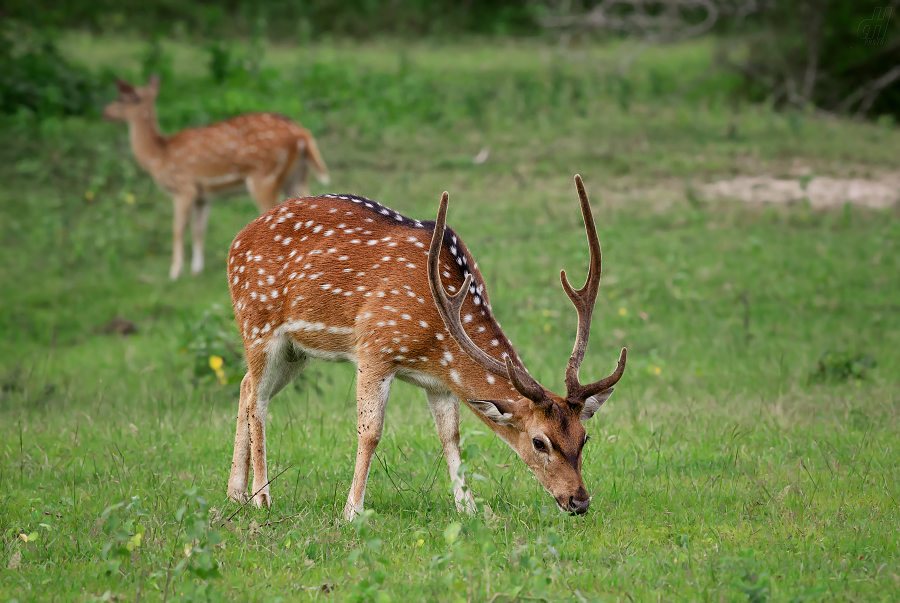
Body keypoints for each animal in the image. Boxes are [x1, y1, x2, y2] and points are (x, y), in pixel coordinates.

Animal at [104, 75, 330, 280]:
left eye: (122, 98)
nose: (105, 112)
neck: (159, 156)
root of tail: (302, 135)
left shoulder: (184, 187)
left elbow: (177, 229)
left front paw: (175, 272)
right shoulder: (202, 196)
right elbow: (198, 229)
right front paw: (196, 269)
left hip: (264, 176)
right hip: (297, 177)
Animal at [225, 175, 624, 520]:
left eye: (584, 438)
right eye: (540, 442)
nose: (579, 501)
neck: (435, 338)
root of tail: (236, 241)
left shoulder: (440, 381)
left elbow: (451, 436)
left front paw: (469, 508)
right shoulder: (374, 347)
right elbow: (370, 432)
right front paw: (352, 512)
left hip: (297, 351)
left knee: (246, 387)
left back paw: (235, 493)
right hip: (257, 324)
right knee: (258, 401)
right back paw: (262, 496)